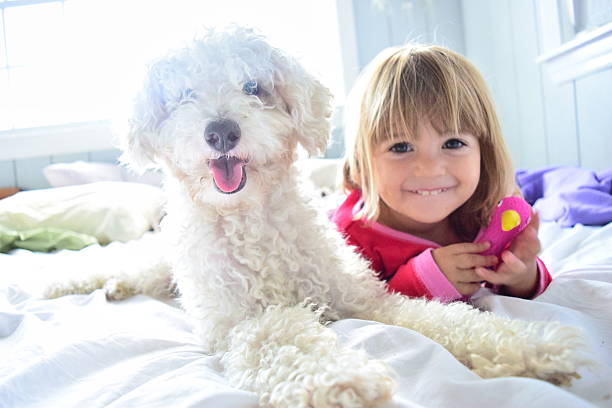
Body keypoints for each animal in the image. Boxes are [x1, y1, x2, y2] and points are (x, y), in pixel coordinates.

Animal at [61, 27, 588, 406]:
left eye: (253, 87)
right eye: (185, 92)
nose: (221, 131)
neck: (250, 220)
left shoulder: (365, 300)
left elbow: (442, 319)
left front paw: (532, 347)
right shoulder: (238, 324)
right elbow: (282, 337)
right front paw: (340, 380)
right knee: (122, 266)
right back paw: (96, 283)